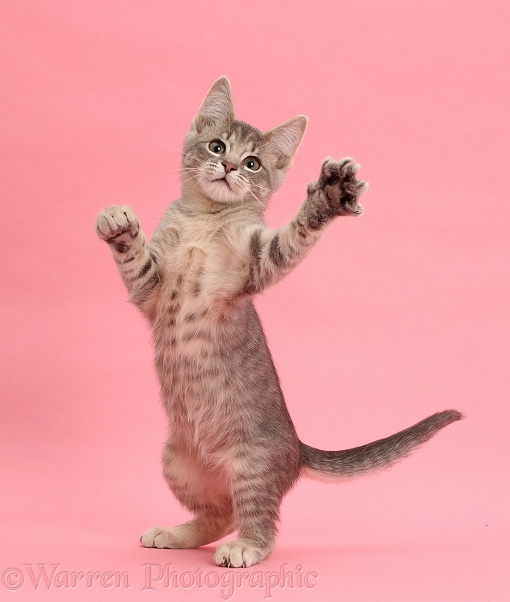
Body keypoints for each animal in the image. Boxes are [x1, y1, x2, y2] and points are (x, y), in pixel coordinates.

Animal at [94, 77, 462, 564]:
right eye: (217, 146)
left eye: (253, 163)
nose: (229, 165)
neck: (204, 222)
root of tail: (297, 449)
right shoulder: (149, 291)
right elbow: (136, 260)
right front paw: (118, 224)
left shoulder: (255, 266)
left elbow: (291, 239)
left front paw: (329, 196)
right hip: (176, 462)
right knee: (219, 514)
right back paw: (174, 533)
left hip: (252, 464)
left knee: (256, 522)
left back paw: (244, 548)